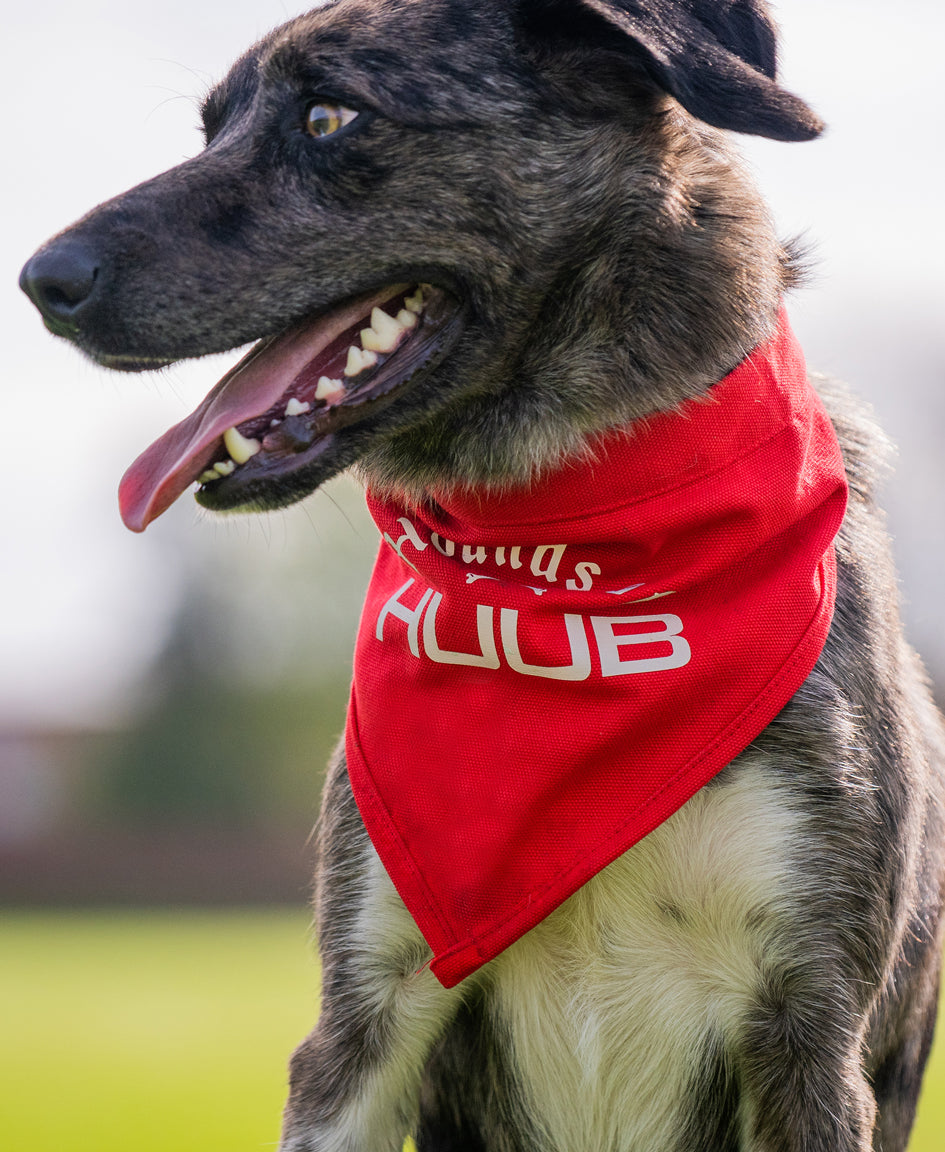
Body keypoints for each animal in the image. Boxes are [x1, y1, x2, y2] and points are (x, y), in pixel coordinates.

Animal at [18, 2, 945, 1152]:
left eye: (329, 115)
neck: (565, 559)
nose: (43, 280)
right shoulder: (360, 1023)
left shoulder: (808, 1030)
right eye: (211, 130)